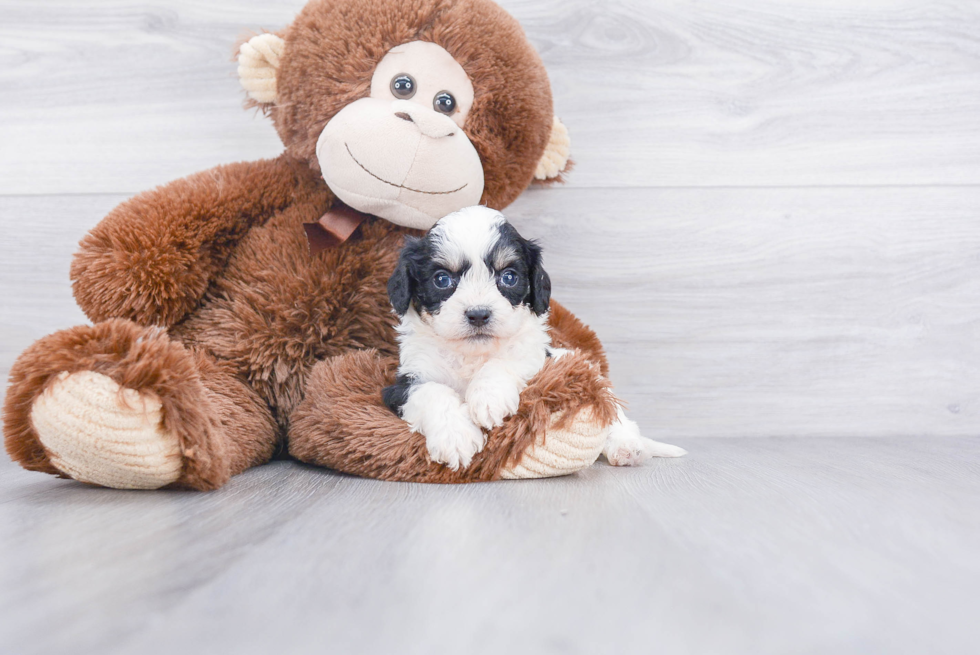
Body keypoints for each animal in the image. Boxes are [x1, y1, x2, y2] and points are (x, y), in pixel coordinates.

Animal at [378, 208, 684, 468]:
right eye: (442, 280)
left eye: (509, 277)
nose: (478, 314)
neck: (472, 355)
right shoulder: (405, 381)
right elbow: (433, 392)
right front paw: (456, 436)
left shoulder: (538, 358)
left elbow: (506, 361)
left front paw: (488, 399)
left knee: (616, 418)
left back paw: (627, 447)